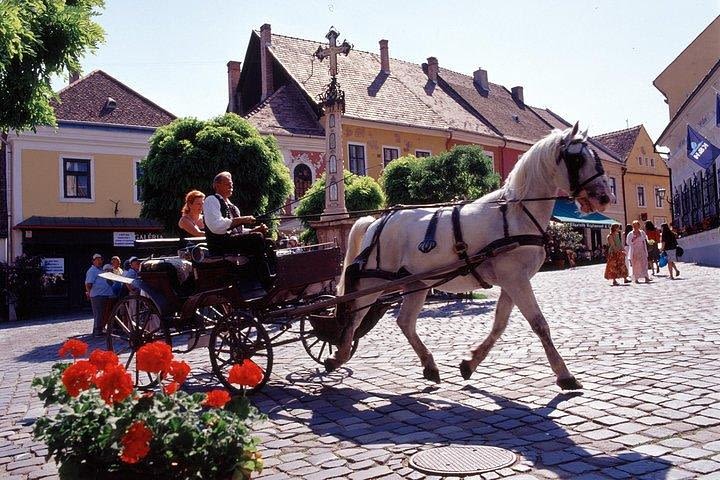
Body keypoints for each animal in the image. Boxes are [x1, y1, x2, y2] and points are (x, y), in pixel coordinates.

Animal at [328, 124, 612, 390]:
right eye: (578, 159)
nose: (605, 197)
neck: (516, 214)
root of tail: (376, 222)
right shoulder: (516, 280)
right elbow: (539, 324)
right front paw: (565, 375)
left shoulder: (512, 282)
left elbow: (499, 324)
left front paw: (470, 363)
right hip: (373, 283)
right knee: (354, 316)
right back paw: (338, 356)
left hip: (416, 283)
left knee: (405, 322)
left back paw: (429, 366)